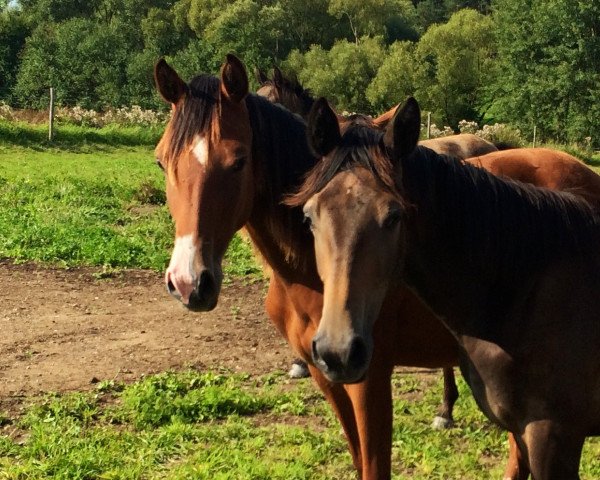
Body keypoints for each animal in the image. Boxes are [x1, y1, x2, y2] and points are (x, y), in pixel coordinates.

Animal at [292, 96, 600, 476]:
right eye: (309, 216)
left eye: (394, 216)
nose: (338, 351)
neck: (524, 296)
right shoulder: (524, 432)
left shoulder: (553, 437)